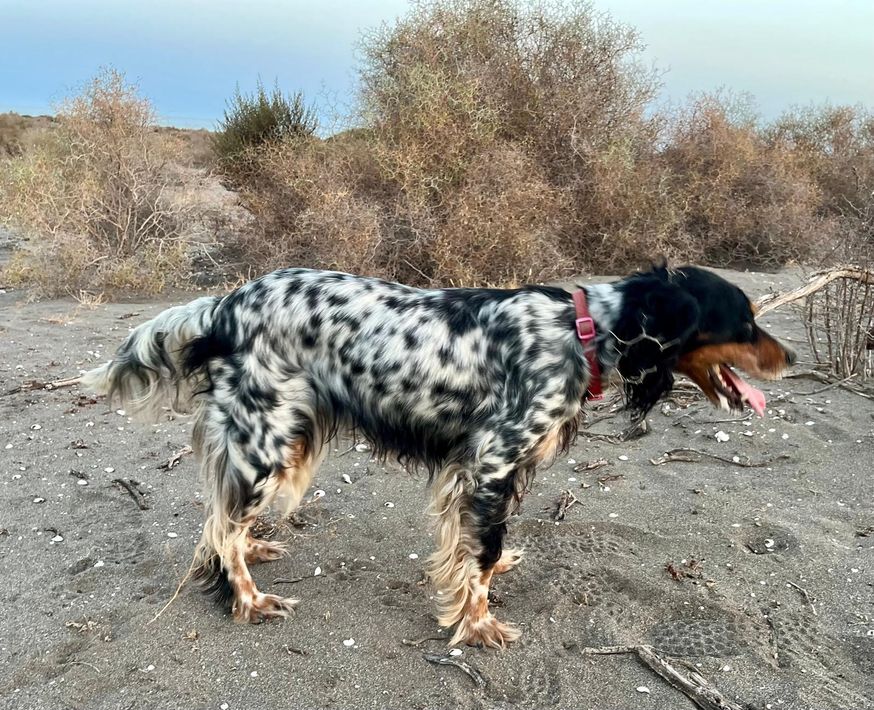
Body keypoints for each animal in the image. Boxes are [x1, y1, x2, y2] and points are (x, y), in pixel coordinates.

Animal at [82, 264, 794, 647]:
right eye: (744, 320)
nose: (790, 355)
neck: (582, 330)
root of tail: (229, 303)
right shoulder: (492, 462)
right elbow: (477, 557)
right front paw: (478, 626)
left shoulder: (481, 472)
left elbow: (476, 549)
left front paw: (491, 577)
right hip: (269, 438)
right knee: (224, 525)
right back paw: (248, 599)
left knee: (221, 519)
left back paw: (251, 554)